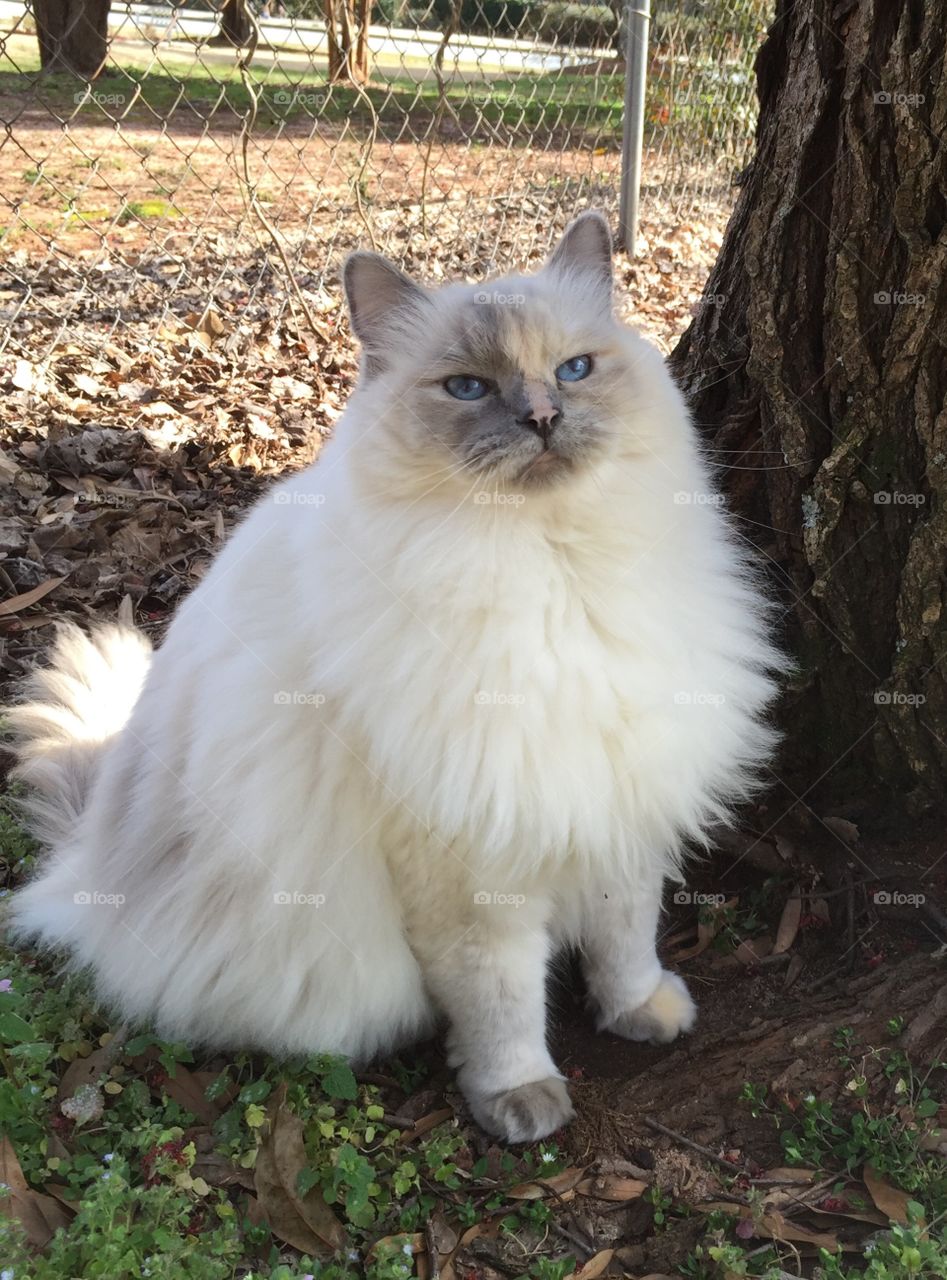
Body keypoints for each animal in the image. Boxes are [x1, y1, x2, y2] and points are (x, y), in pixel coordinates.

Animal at [7, 215, 778, 1146]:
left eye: (573, 370)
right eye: (467, 388)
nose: (544, 417)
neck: (556, 569)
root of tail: (85, 862)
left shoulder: (610, 798)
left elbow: (625, 935)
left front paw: (641, 1010)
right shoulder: (469, 863)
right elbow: (501, 1000)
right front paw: (521, 1097)